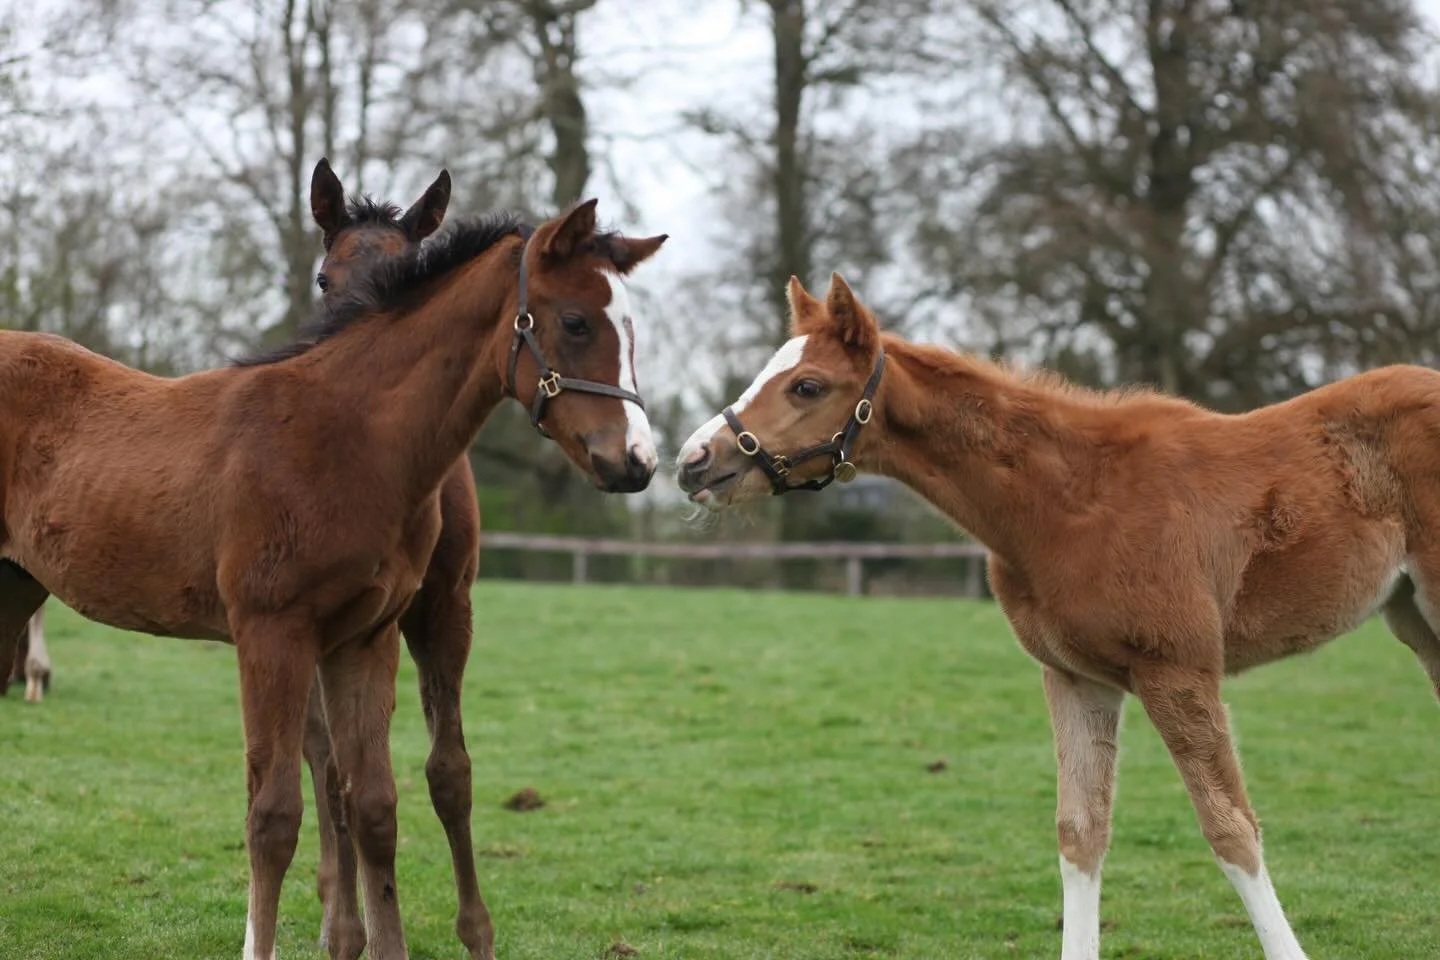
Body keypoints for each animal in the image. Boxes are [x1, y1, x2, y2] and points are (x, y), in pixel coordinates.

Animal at [0, 197, 666, 960]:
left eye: (631, 328)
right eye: (577, 321)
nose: (638, 462)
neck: (346, 434)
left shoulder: (365, 636)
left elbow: (371, 803)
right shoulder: (272, 632)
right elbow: (274, 816)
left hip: (14, 587)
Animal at [675, 272, 1440, 960]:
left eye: (807, 385)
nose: (692, 461)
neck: (1070, 499)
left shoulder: (1179, 669)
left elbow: (1231, 830)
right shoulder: (1076, 677)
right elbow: (1080, 832)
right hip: (1412, 618)